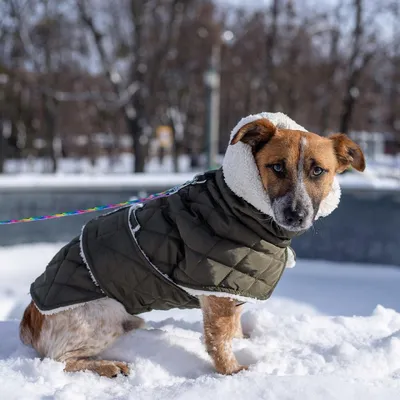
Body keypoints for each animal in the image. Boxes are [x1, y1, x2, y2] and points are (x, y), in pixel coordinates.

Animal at [19, 112, 366, 378]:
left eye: (318, 170)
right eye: (277, 167)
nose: (296, 214)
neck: (240, 207)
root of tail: (31, 316)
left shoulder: (233, 292)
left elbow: (234, 331)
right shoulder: (218, 296)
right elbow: (219, 342)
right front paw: (234, 374)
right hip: (101, 317)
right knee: (61, 359)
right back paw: (108, 366)